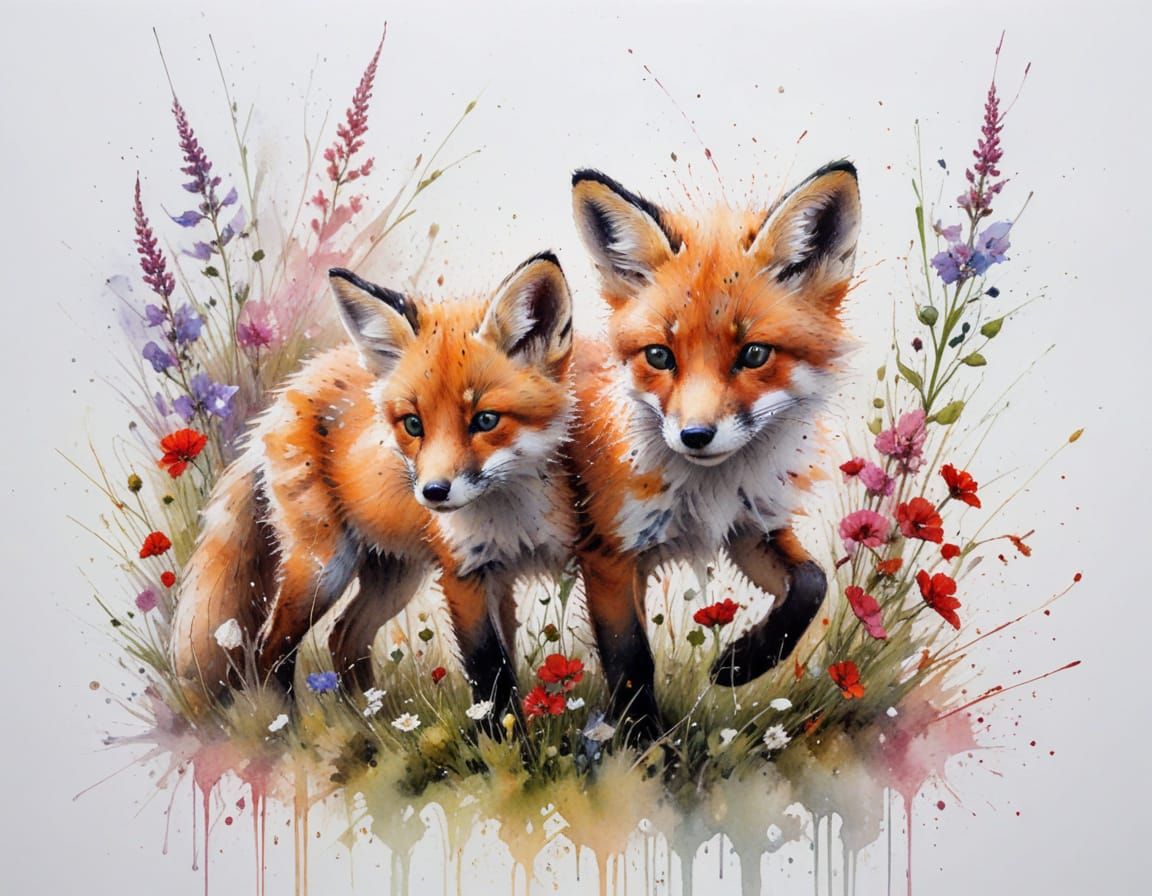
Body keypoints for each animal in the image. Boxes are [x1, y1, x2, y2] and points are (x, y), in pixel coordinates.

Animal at [169, 252, 577, 718]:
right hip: (323, 568)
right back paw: (291, 729)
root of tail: (279, 401)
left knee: (343, 636)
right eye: (414, 424)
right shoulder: (464, 575)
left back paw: (371, 719)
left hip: (394, 576)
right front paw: (503, 733)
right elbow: (489, 671)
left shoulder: (509, 572)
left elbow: (505, 662)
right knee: (269, 649)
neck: (512, 517)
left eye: (486, 420)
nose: (433, 493)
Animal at [567, 162, 861, 737]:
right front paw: (646, 748)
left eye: (754, 354)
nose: (696, 436)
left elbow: (811, 583)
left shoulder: (749, 526)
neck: (707, 490)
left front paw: (741, 663)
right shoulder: (608, 554)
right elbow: (631, 660)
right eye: (659, 355)